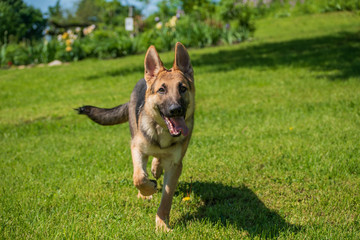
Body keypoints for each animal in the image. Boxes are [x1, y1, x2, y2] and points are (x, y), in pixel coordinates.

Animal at [76, 42, 194, 231]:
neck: (162, 132)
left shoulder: (176, 165)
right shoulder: (137, 148)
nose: (175, 110)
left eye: (182, 88)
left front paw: (162, 224)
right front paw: (148, 190)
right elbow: (139, 177)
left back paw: (156, 168)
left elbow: (167, 197)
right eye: (162, 90)